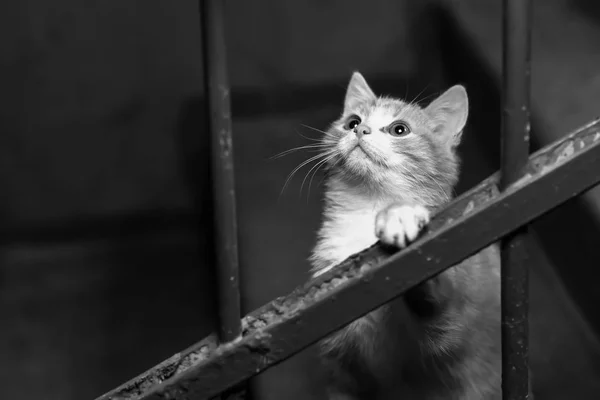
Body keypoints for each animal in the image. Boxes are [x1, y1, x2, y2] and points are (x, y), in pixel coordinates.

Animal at [308, 72, 504, 400]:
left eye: (399, 130)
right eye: (352, 121)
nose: (360, 129)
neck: (368, 208)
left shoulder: (451, 336)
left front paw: (401, 216)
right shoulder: (342, 373)